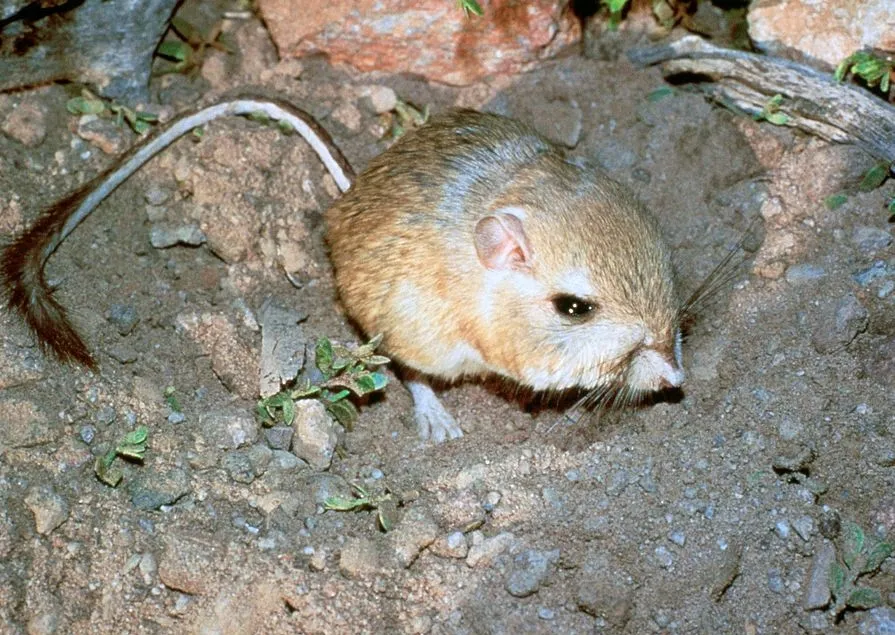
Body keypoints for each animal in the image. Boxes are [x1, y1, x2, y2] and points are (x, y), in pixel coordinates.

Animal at [1, 95, 684, 443]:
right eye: (574, 309)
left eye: (665, 257)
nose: (681, 383)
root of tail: (346, 202)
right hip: (417, 329)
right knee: (409, 369)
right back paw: (438, 423)